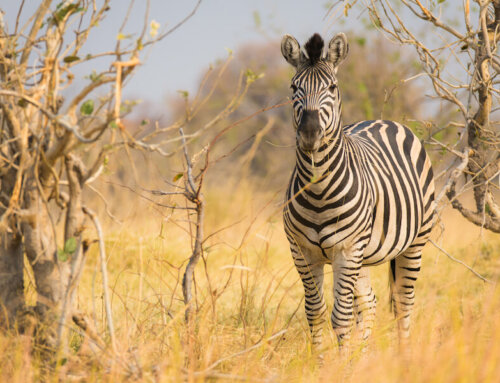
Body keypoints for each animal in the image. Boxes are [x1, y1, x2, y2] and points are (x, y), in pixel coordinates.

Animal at [284, 33, 436, 354]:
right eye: (293, 87)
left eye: (332, 87)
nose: (310, 134)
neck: (318, 191)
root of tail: (385, 121)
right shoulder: (302, 251)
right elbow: (315, 313)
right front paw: (322, 362)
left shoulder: (347, 248)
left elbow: (340, 317)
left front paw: (342, 363)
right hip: (363, 257)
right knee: (369, 302)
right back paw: (363, 357)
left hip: (414, 242)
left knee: (403, 303)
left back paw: (404, 356)